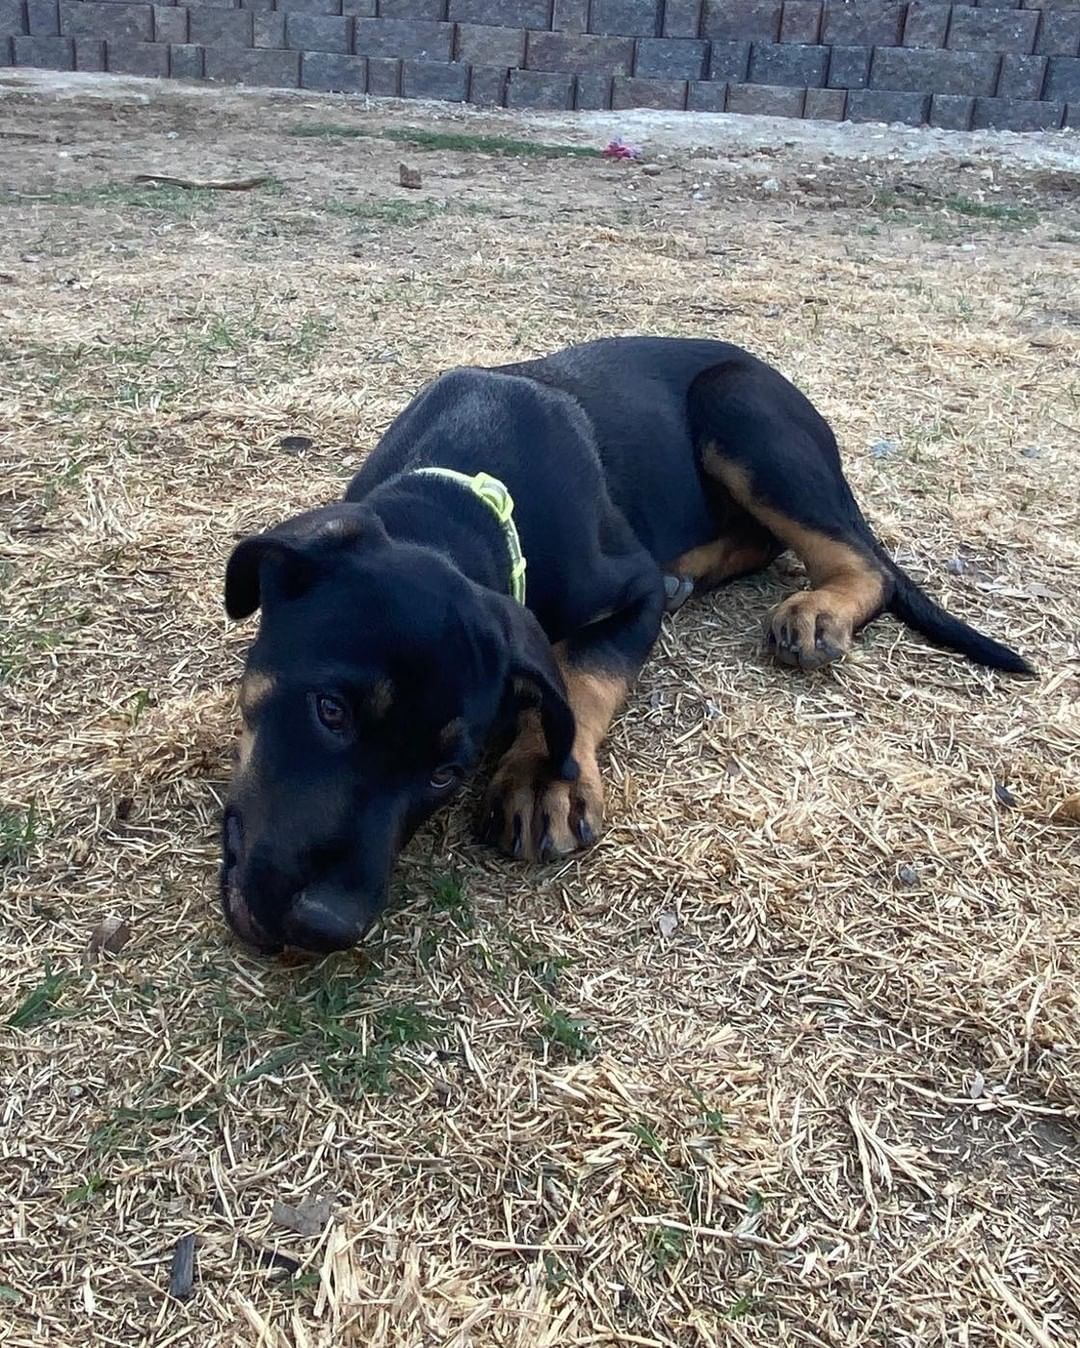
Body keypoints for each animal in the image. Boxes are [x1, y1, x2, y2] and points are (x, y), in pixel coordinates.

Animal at [217, 331, 1030, 954]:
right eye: (329, 711)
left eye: (447, 771)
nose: (325, 927)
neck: (462, 504)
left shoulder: (629, 588)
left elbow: (581, 673)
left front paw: (547, 776)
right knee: (764, 541)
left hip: (737, 410)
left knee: (863, 565)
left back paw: (813, 611)